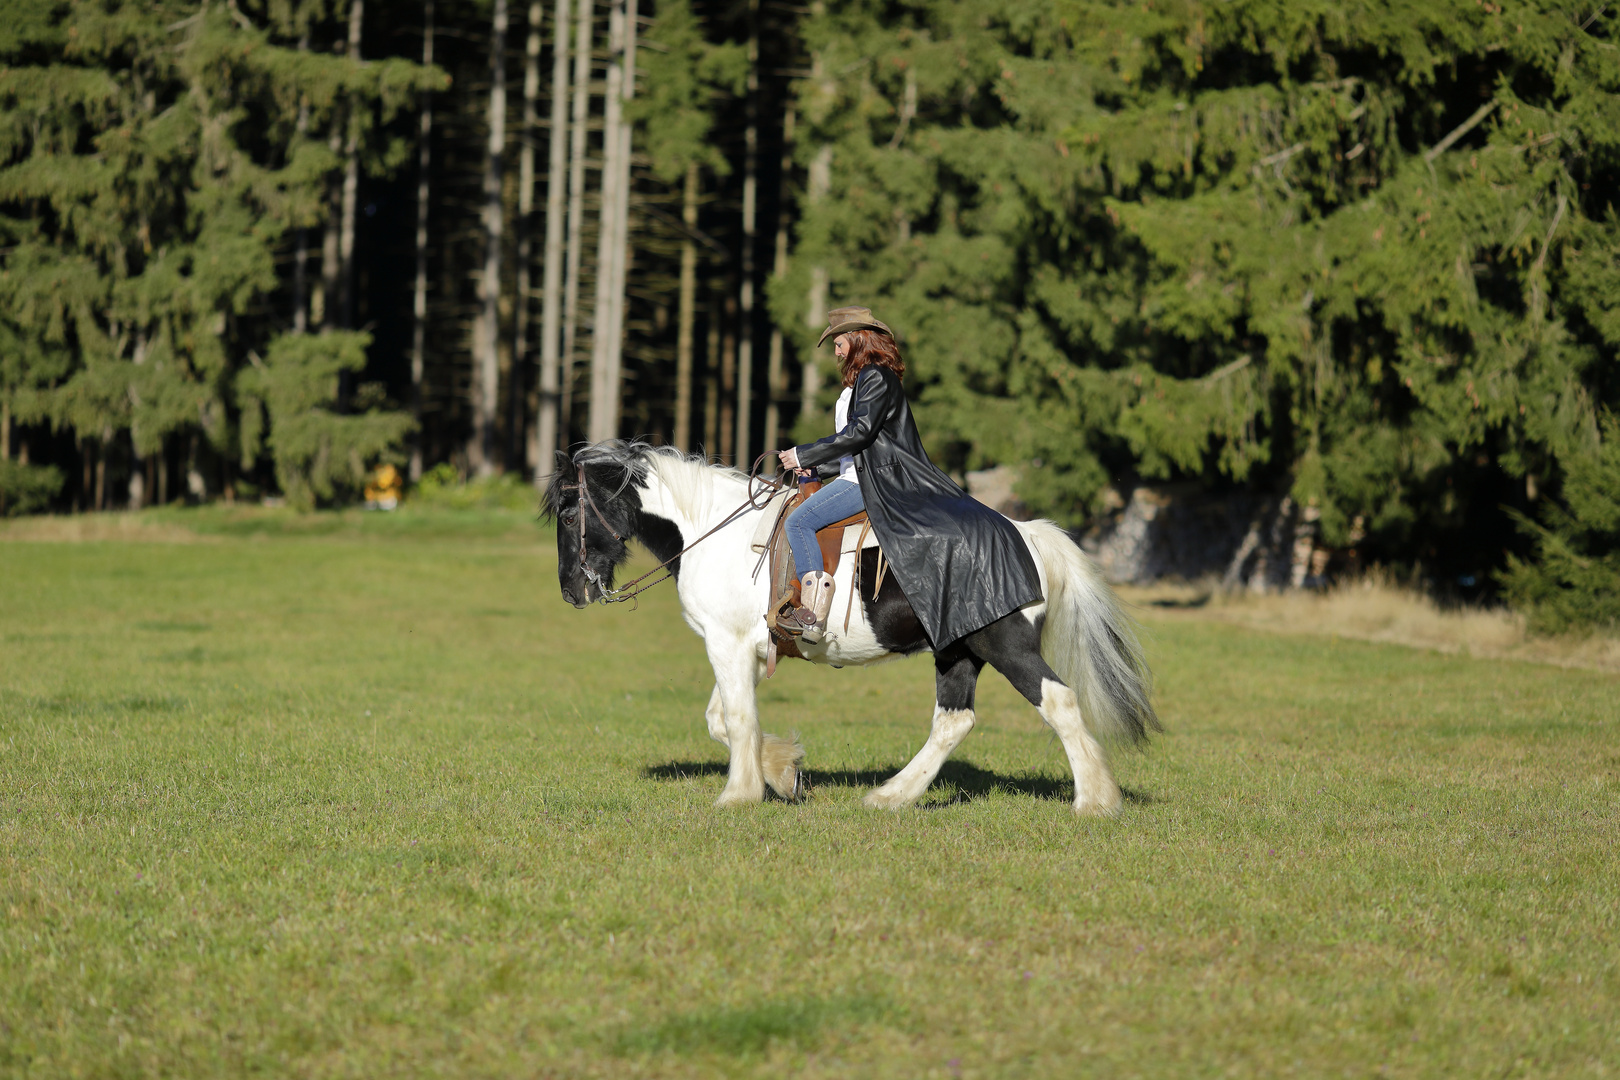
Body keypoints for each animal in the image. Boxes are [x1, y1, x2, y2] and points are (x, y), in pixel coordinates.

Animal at [550, 440, 1159, 809]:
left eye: (568, 512)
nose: (572, 592)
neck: (712, 529)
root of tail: (1026, 534)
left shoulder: (725, 643)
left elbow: (738, 721)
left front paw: (740, 795)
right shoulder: (746, 649)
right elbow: (722, 719)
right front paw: (784, 771)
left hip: (1005, 644)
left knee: (1058, 701)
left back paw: (1095, 800)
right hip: (957, 651)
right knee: (953, 722)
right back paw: (891, 796)